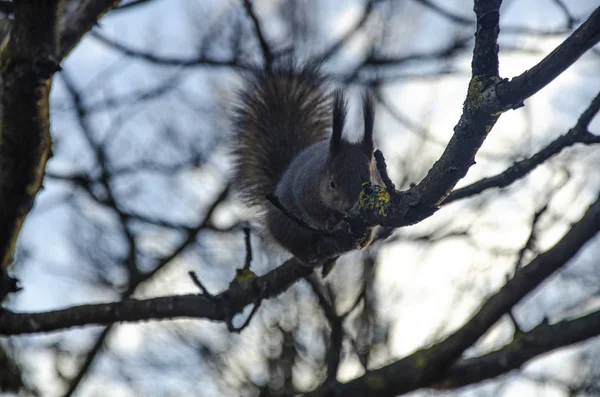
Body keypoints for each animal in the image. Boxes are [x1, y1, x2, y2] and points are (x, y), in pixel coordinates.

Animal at [231, 63, 378, 270]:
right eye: (332, 183)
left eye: (370, 181)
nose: (350, 207)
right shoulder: (304, 190)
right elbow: (314, 212)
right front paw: (330, 220)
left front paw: (368, 236)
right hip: (284, 224)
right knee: (289, 241)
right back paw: (306, 254)